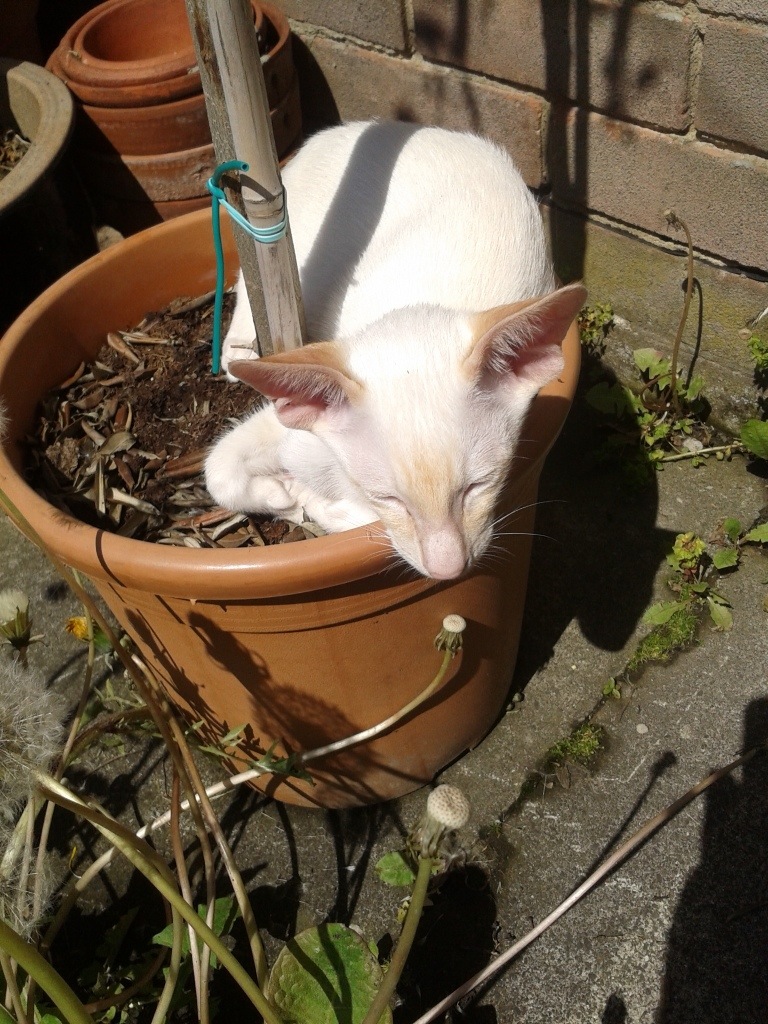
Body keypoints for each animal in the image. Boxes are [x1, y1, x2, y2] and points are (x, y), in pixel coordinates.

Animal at [204, 120, 585, 580]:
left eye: (479, 486)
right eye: (389, 498)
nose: (448, 571)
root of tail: (365, 127)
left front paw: (305, 501)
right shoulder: (297, 434)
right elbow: (217, 468)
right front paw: (281, 497)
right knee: (248, 276)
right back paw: (237, 353)